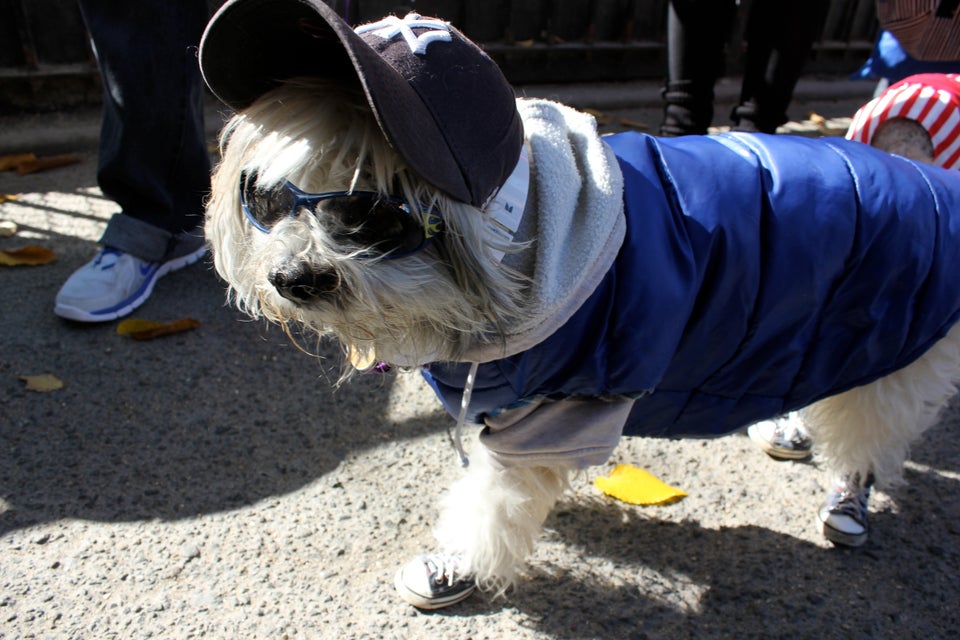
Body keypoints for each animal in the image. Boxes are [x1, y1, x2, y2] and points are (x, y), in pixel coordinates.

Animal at [201, 1, 960, 608]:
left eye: (370, 213)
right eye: (267, 197)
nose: (294, 279)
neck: (520, 246)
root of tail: (934, 179)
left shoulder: (557, 410)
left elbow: (494, 503)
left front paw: (459, 563)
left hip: (896, 343)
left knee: (870, 431)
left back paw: (849, 496)